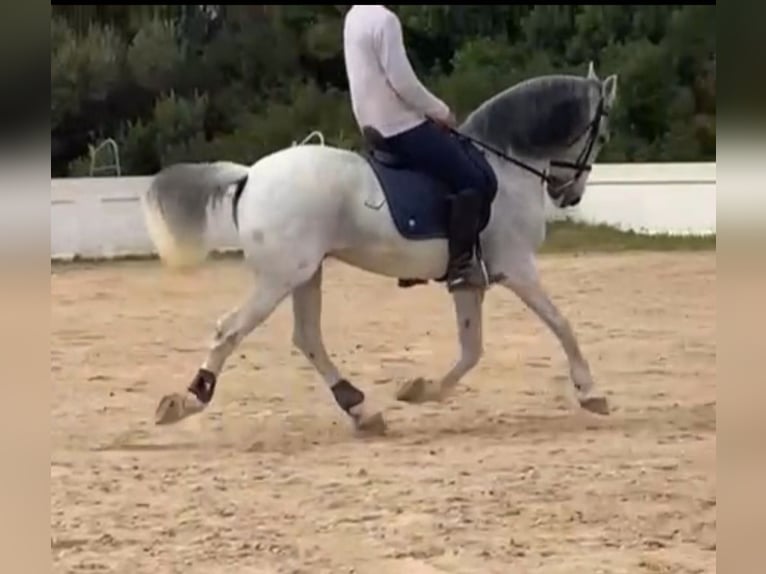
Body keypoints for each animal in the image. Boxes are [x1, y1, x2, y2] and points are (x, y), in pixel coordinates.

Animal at [147, 64, 620, 436]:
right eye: (601, 134)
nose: (569, 195)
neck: (504, 166)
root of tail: (250, 175)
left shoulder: (470, 279)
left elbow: (472, 349)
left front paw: (421, 390)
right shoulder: (518, 267)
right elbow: (561, 325)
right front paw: (591, 393)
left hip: (306, 273)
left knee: (308, 338)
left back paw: (360, 409)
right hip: (280, 277)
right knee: (230, 329)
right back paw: (187, 401)